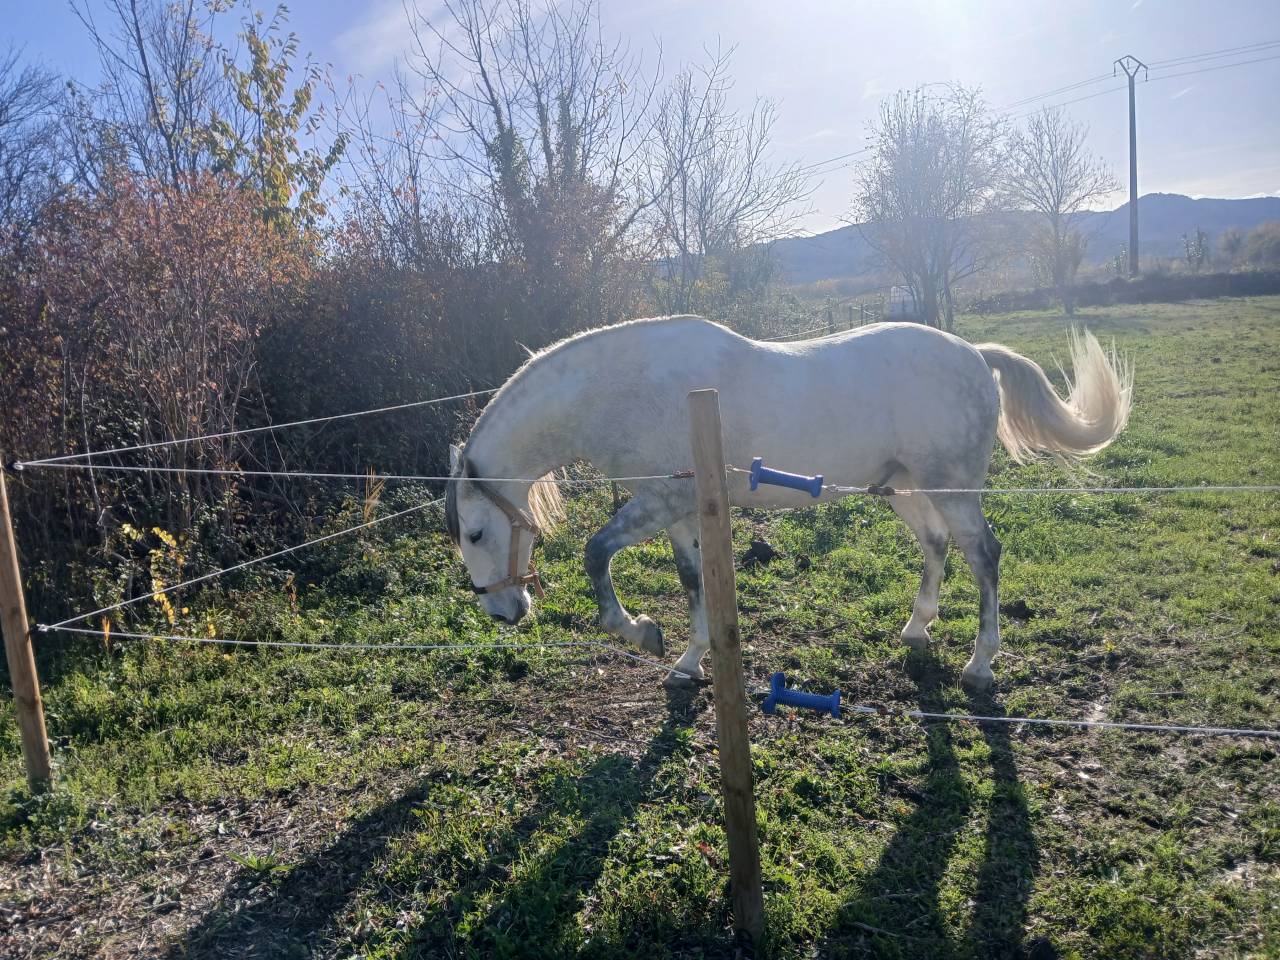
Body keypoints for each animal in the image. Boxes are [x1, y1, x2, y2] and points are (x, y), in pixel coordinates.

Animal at [444, 316, 1131, 690]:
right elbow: (692, 580)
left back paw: (981, 664)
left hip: (953, 489)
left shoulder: (659, 501)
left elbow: (596, 554)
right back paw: (916, 629)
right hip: (903, 487)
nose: (503, 612)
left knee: (984, 555)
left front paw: (641, 632)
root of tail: (973, 354)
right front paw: (688, 659)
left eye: (475, 533)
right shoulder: (677, 510)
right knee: (936, 546)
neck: (622, 389)